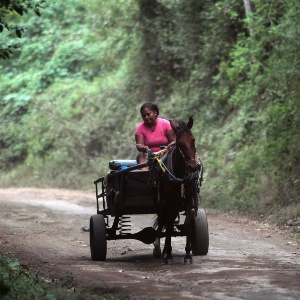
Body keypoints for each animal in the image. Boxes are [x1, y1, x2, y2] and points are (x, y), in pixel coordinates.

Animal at [152, 117, 202, 264]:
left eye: (193, 140)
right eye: (180, 143)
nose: (193, 167)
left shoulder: (189, 199)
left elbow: (188, 225)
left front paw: (188, 255)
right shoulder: (170, 201)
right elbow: (168, 225)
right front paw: (168, 255)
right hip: (161, 202)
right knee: (162, 220)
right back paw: (158, 249)